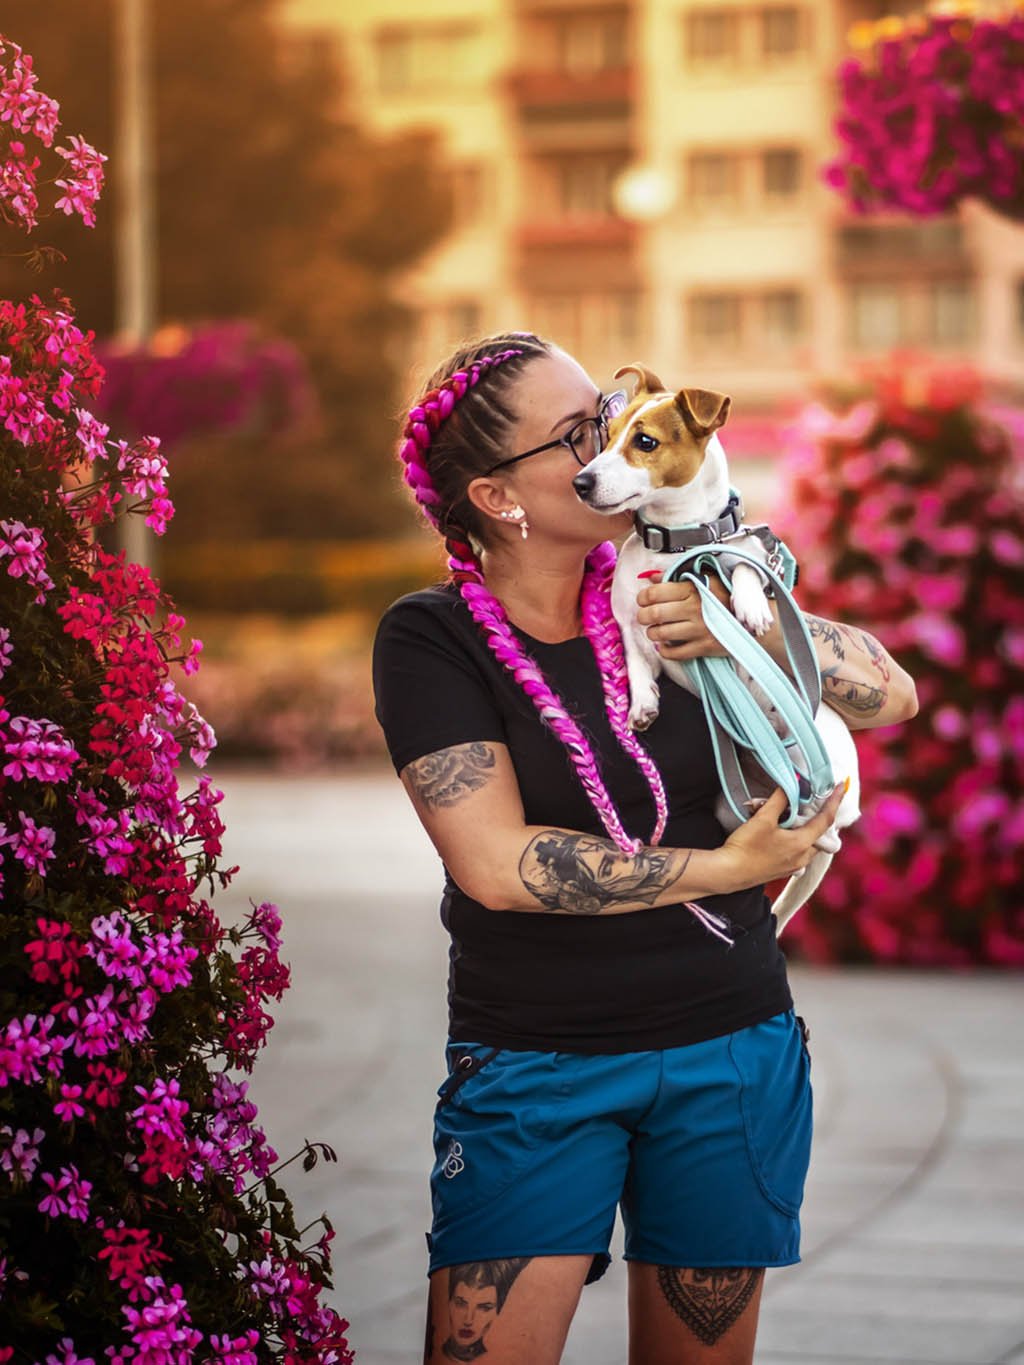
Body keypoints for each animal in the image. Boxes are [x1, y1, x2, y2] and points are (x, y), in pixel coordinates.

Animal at [573, 363, 862, 928]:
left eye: (645, 441)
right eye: (607, 437)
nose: (581, 481)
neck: (676, 548)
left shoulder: (742, 552)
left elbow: (742, 565)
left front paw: (749, 608)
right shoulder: (631, 623)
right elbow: (636, 661)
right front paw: (642, 705)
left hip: (829, 762)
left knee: (831, 832)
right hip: (731, 804)